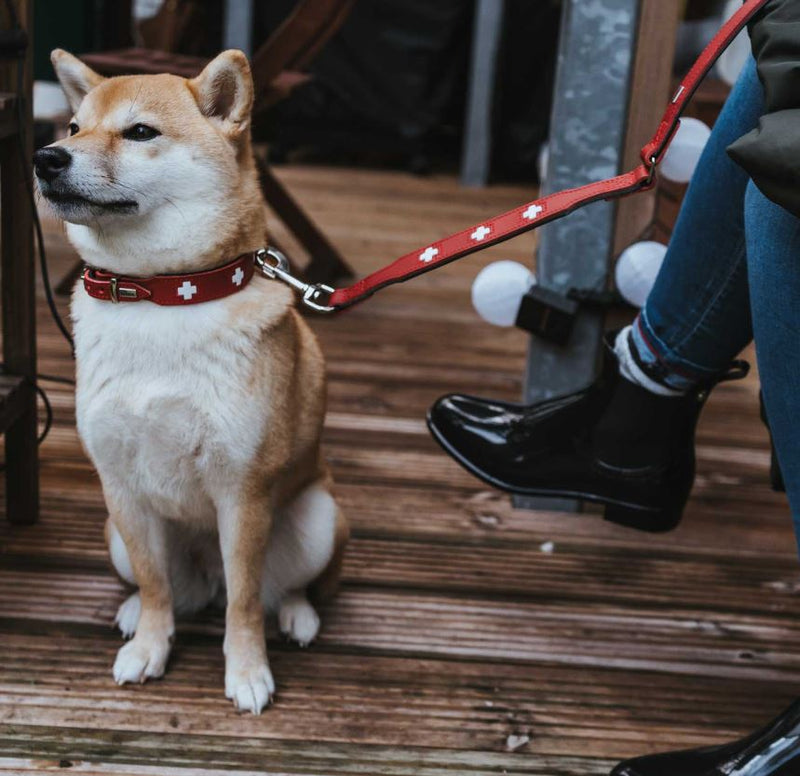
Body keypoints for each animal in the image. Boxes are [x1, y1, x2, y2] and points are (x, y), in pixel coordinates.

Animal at [35, 48, 346, 716]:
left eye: (139, 132)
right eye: (72, 128)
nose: (46, 157)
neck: (159, 298)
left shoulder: (243, 492)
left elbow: (246, 600)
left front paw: (248, 671)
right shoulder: (121, 485)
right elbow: (156, 586)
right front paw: (150, 645)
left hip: (318, 519)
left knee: (283, 588)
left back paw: (300, 616)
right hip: (115, 534)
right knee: (168, 586)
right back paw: (135, 612)